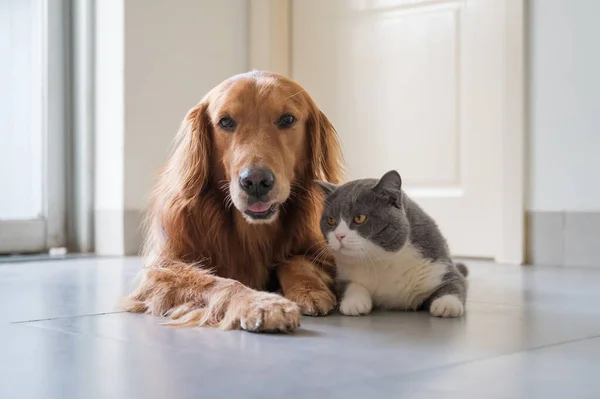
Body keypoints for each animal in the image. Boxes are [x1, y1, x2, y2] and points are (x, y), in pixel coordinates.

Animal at [316, 171, 466, 318]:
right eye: (330, 220)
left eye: (359, 218)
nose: (339, 236)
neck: (381, 261)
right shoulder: (340, 276)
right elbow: (348, 285)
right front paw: (354, 302)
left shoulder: (438, 263)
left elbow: (455, 282)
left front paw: (446, 304)